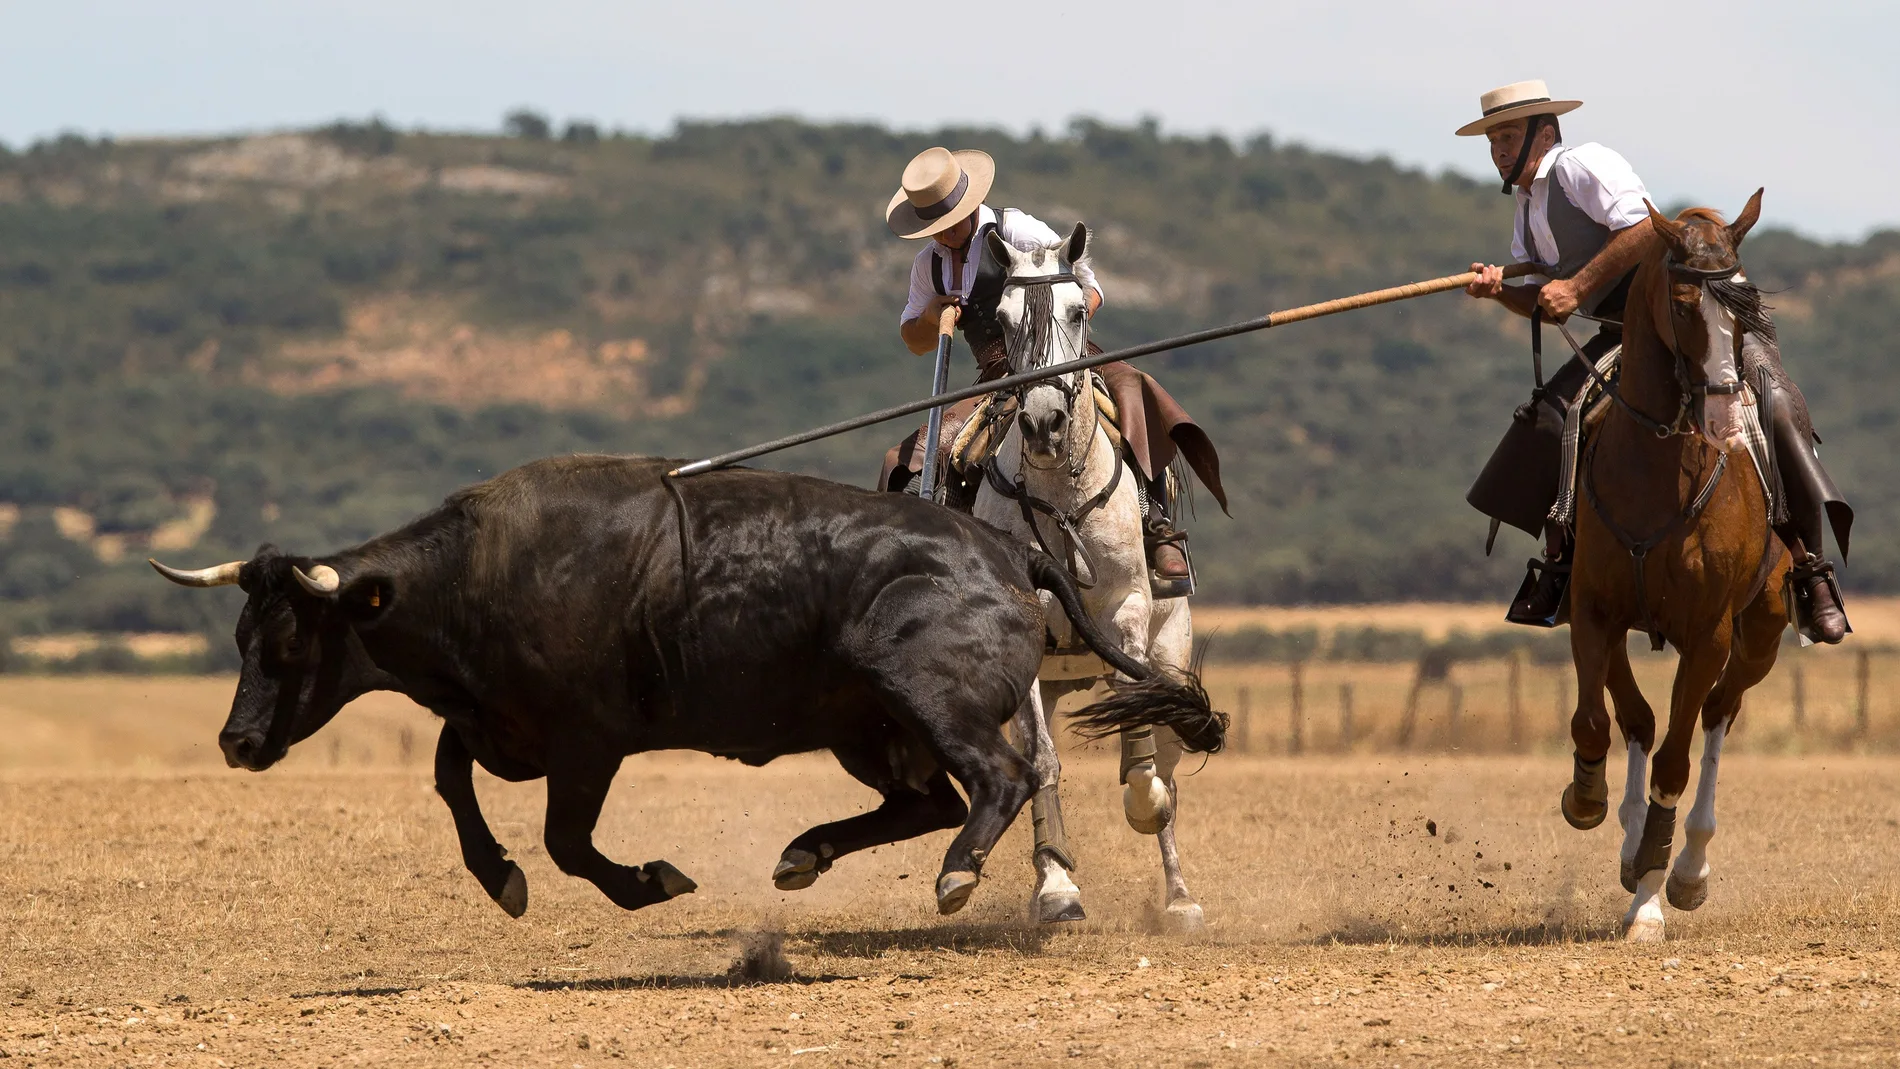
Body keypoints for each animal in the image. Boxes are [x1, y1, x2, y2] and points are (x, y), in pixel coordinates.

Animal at [144, 455, 1216, 915]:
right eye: (240, 633)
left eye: (289, 640)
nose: (237, 742)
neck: (481, 572)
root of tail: (1005, 549)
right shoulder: (495, 722)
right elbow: (452, 781)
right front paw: (499, 877)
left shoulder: (586, 741)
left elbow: (567, 840)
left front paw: (646, 881)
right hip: (864, 726)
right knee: (926, 800)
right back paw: (802, 854)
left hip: (920, 695)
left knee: (997, 779)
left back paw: (956, 873)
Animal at [980, 224, 1200, 930]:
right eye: (1002, 319)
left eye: (1078, 311)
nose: (1043, 423)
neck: (1059, 492)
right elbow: (1043, 762)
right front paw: (1057, 891)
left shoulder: (1127, 609)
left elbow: (1144, 752)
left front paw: (1143, 805)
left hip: (1170, 647)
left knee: (1168, 753)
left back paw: (1179, 897)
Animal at [1550, 192, 1786, 945]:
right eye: (1683, 305)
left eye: (1746, 303)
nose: (1723, 416)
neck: (1658, 468)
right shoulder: (1594, 614)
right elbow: (1602, 723)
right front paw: (1590, 800)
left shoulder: (1709, 634)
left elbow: (1676, 762)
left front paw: (1652, 893)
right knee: (1642, 720)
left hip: (1761, 635)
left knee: (1716, 715)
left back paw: (1687, 870)